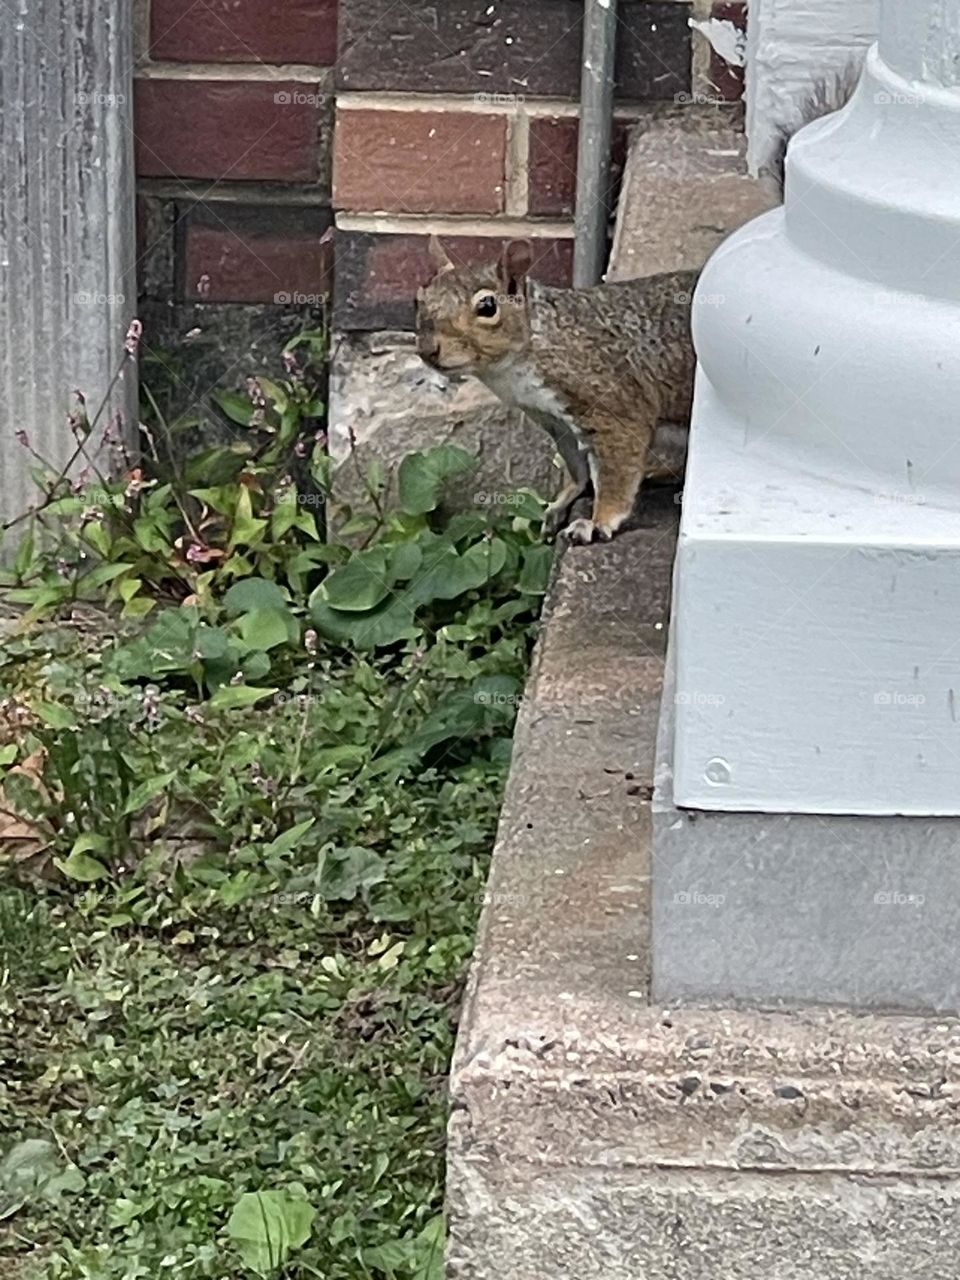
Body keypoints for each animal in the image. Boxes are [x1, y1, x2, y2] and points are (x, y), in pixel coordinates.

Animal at [416, 70, 860, 544]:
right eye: (420, 298)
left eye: (487, 307)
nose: (429, 350)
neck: (528, 351)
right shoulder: (556, 422)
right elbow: (577, 470)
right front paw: (559, 504)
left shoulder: (608, 403)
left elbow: (616, 466)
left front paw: (597, 521)